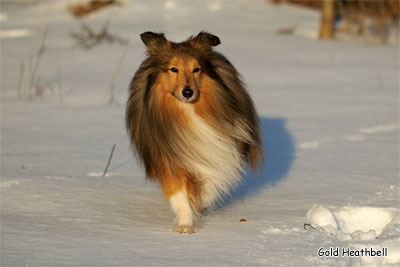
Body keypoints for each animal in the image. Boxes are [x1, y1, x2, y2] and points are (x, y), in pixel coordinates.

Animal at [125, 31, 262, 234]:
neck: (187, 112)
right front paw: (185, 225)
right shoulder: (167, 159)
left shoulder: (215, 151)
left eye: (196, 69)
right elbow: (179, 195)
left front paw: (199, 202)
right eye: (173, 69)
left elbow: (209, 184)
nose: (188, 92)